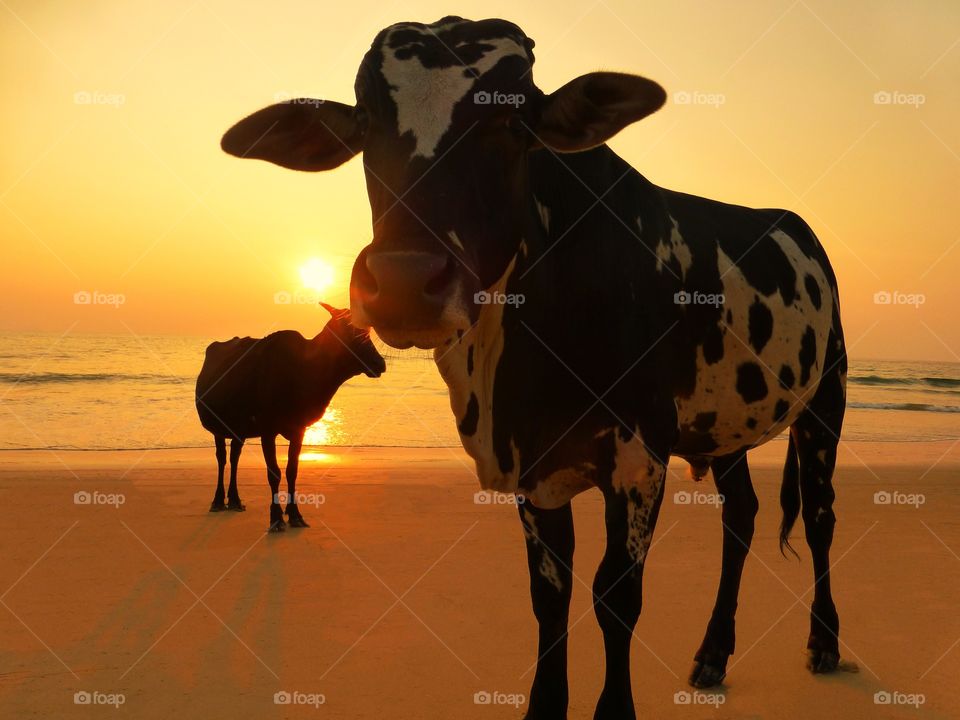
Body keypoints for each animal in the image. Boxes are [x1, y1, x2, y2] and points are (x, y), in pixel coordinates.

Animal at [195, 300, 386, 532]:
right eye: (352, 332)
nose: (380, 363)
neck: (304, 371)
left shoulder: (298, 430)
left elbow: (292, 470)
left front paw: (295, 514)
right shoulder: (268, 431)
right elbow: (274, 472)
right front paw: (276, 517)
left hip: (238, 430)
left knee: (234, 456)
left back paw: (234, 499)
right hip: (218, 429)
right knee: (222, 458)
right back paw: (218, 500)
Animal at [219, 15, 848, 716]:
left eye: (512, 123)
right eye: (364, 122)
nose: (406, 281)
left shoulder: (638, 458)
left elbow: (615, 596)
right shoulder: (533, 467)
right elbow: (550, 597)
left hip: (826, 400)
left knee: (819, 516)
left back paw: (823, 641)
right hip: (723, 429)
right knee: (740, 517)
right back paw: (713, 652)